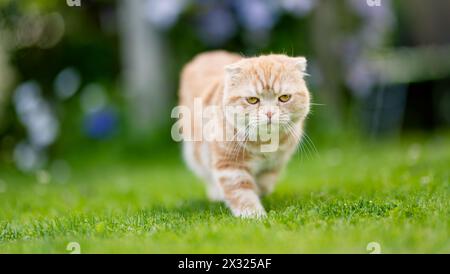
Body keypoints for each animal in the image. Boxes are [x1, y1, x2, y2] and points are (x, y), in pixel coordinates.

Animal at [178, 50, 312, 218]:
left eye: (284, 97)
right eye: (252, 100)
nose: (269, 113)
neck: (264, 143)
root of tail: (208, 54)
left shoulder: (275, 164)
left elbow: (264, 185)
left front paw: (259, 194)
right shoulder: (230, 165)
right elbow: (241, 192)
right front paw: (253, 215)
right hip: (196, 155)